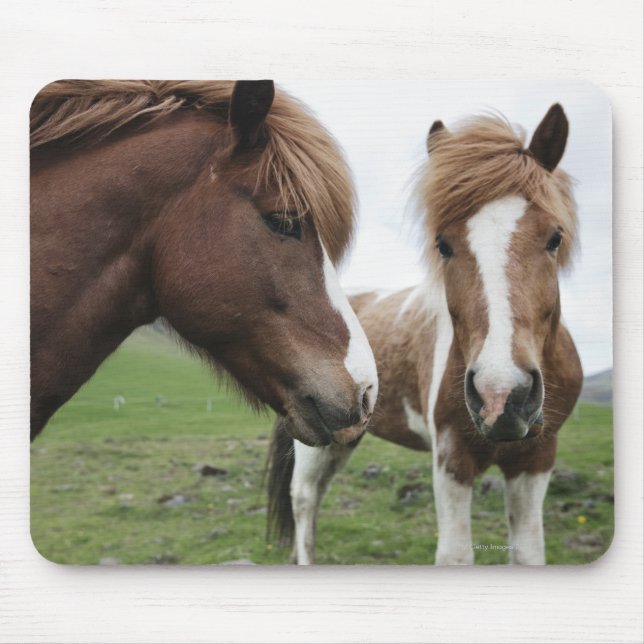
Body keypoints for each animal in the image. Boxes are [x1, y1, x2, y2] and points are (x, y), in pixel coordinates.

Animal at [267, 104, 583, 565]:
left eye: (555, 237)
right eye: (443, 245)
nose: (501, 397)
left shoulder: (536, 460)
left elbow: (528, 553)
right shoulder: (451, 459)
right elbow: (456, 555)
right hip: (316, 441)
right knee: (305, 498)